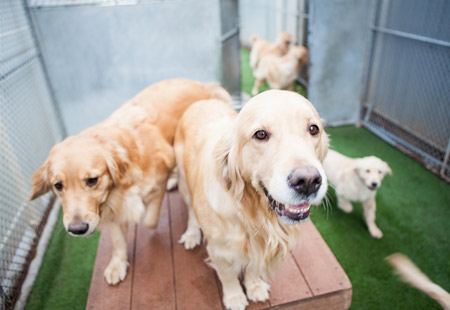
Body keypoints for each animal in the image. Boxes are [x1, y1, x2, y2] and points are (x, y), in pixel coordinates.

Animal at [29, 78, 230, 284]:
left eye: (92, 180)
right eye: (58, 186)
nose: (77, 229)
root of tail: (202, 84)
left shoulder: (157, 184)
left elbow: (149, 219)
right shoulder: (110, 208)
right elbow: (118, 239)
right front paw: (117, 264)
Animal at [174, 90, 328, 310]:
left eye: (314, 129)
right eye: (260, 134)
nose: (308, 181)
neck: (252, 211)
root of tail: (201, 101)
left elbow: (253, 267)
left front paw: (254, 286)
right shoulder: (219, 249)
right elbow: (228, 275)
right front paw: (235, 297)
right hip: (184, 183)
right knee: (191, 211)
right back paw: (192, 234)